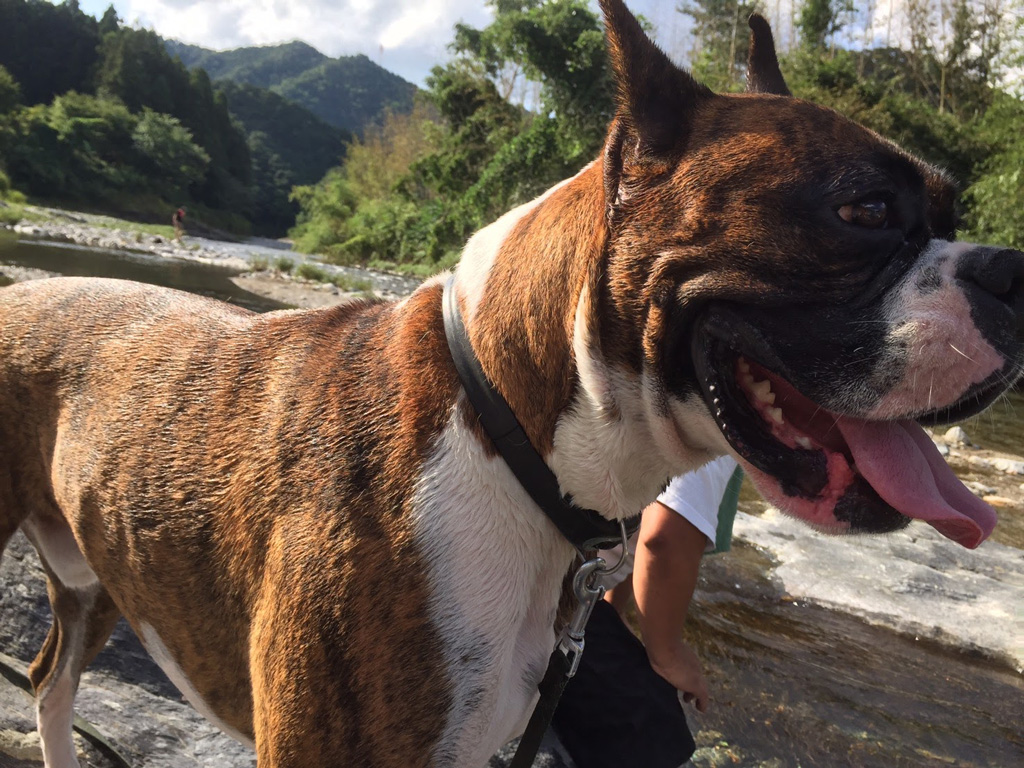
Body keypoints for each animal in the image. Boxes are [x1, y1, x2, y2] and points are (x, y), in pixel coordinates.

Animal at [2, 1, 1024, 768]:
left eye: (947, 212)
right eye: (865, 210)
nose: (1010, 268)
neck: (505, 432)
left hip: (92, 580)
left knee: (49, 681)